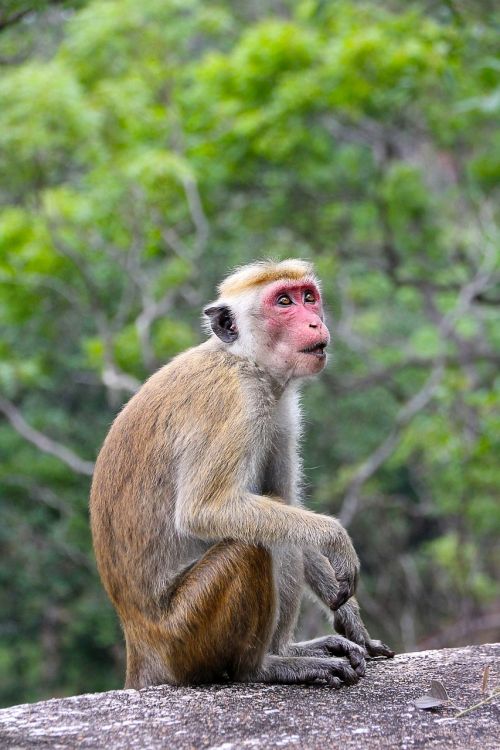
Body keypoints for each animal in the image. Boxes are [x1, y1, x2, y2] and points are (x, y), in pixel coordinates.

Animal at [91, 260, 394, 692]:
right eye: (283, 302)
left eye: (308, 297)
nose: (315, 323)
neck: (243, 361)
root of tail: (141, 646)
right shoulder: (235, 404)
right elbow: (206, 510)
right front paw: (336, 538)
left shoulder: (282, 412)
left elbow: (283, 501)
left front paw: (349, 614)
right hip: (185, 635)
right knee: (252, 545)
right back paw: (263, 667)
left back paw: (290, 650)